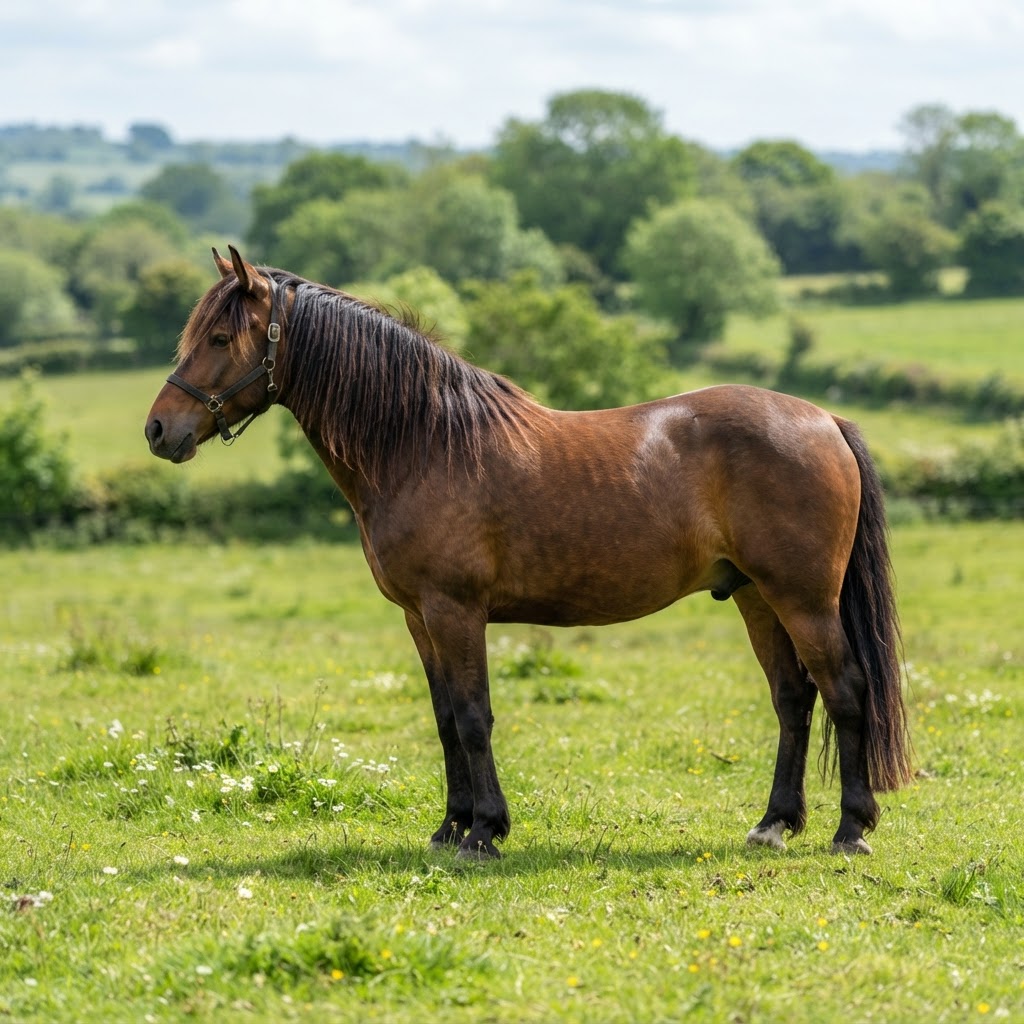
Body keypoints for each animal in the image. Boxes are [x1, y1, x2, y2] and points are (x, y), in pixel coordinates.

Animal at [145, 246, 913, 859]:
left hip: (803, 598)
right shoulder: (419, 618)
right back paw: (774, 824)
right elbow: (446, 720)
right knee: (793, 698)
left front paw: (485, 832)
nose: (158, 430)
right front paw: (450, 829)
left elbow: (474, 718)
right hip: (755, 595)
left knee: (845, 692)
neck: (422, 442)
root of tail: (824, 420)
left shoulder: (456, 611)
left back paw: (851, 829)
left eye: (220, 336)